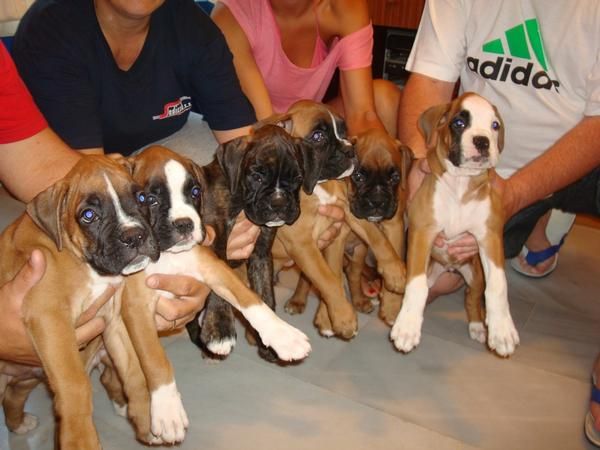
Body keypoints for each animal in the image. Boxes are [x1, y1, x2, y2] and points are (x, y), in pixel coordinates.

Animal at [0, 156, 159, 450]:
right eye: (88, 215)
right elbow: (75, 384)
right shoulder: (51, 318)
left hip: (27, 375)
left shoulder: (112, 321)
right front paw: (81, 438)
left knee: (14, 394)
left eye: (141, 197)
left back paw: (19, 423)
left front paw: (145, 417)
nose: (134, 236)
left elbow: (133, 370)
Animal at [390, 92, 520, 356]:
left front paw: (502, 329)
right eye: (459, 123)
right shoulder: (422, 234)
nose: (482, 141)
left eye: (494, 125)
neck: (461, 184)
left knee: (472, 296)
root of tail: (449, 268)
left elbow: (498, 284)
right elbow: (416, 285)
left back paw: (478, 325)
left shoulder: (489, 237)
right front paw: (407, 326)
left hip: (475, 273)